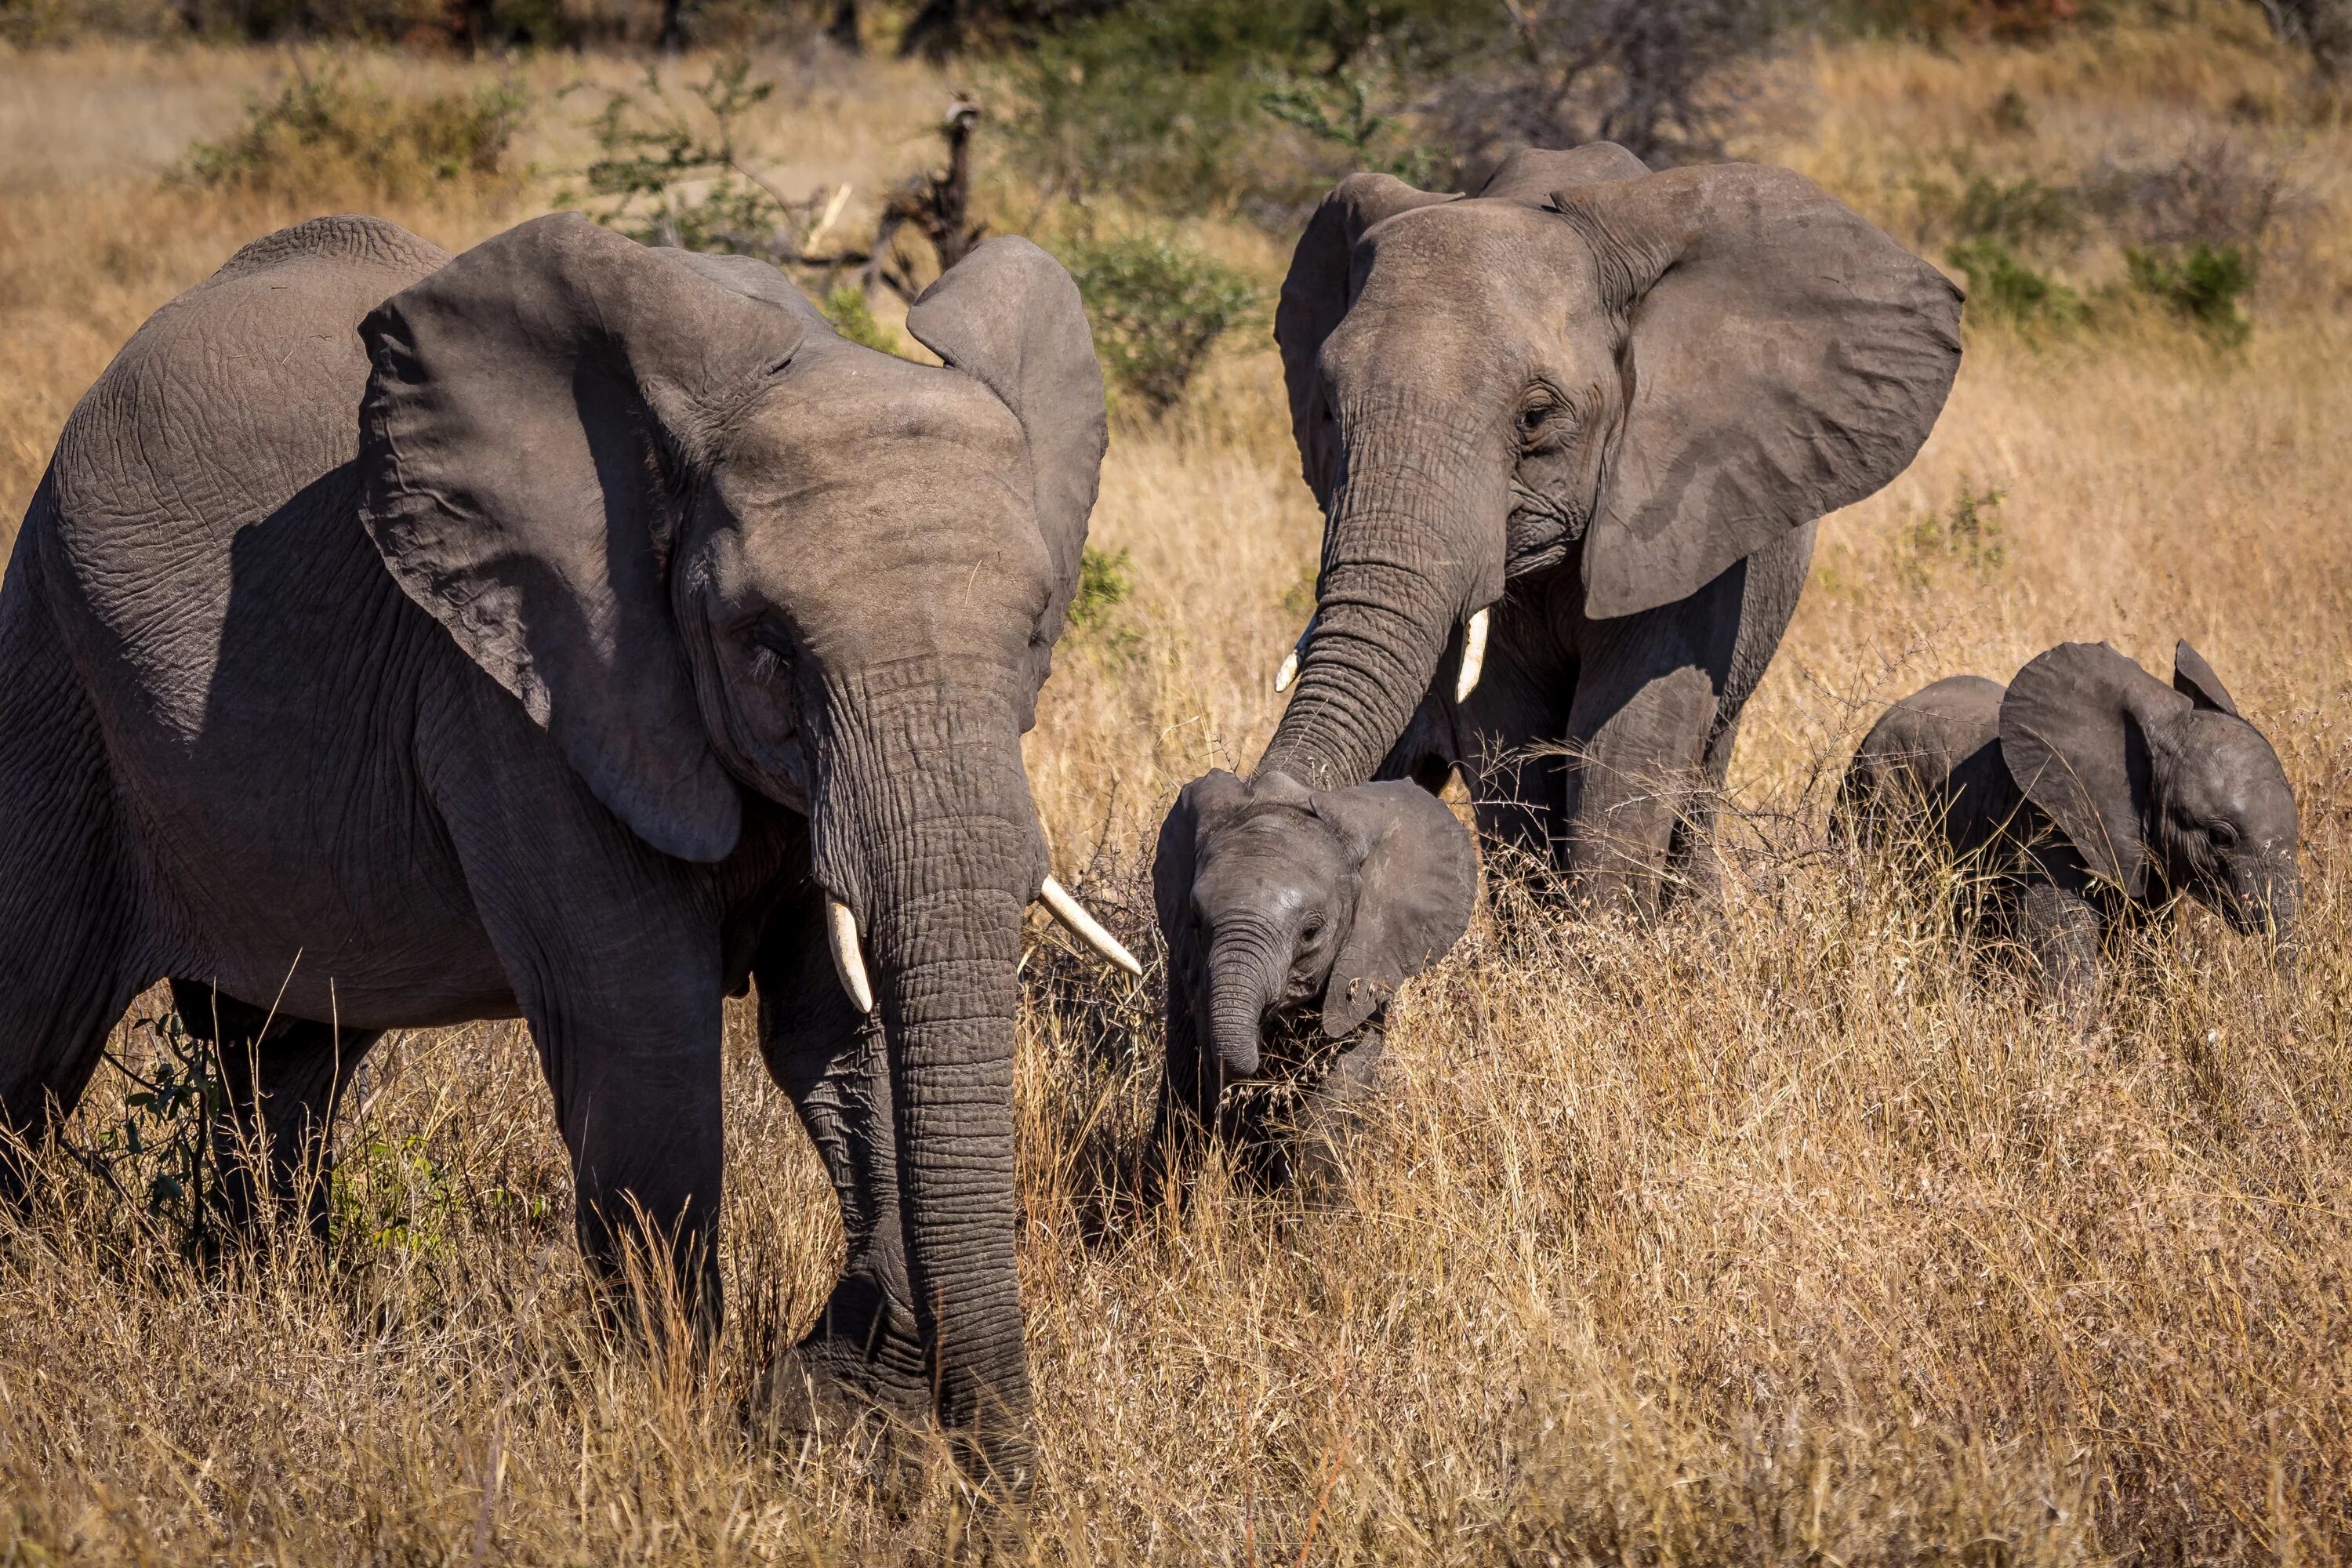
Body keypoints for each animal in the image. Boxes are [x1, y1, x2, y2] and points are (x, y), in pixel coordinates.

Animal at [0, 211, 1129, 1486]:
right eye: (767, 644)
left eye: (1035, 633)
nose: (1005, 1487)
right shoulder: (525, 690)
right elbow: (643, 1036)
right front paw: (672, 1419)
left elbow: (833, 1033)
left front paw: (825, 1411)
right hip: (53, 658)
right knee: (35, 1021)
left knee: (284, 1054)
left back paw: (269, 1291)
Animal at [1261, 143, 1957, 912]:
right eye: (1328, 409)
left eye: (1534, 418)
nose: (1268, 801)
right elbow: (1506, 735)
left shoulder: (1687, 508)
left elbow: (1630, 735)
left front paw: (1604, 938)